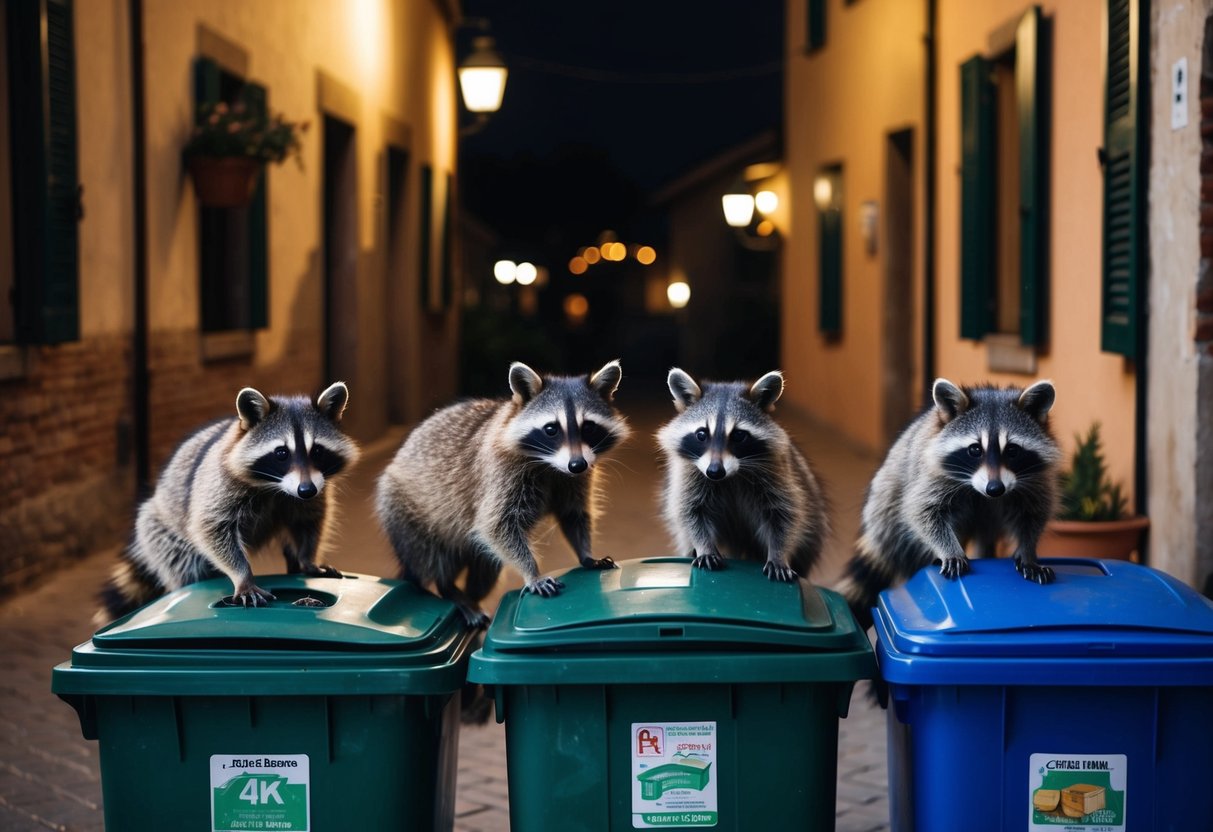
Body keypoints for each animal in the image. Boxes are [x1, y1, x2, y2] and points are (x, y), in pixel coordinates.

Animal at [97, 382, 360, 623]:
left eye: (317, 451)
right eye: (281, 453)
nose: (306, 490)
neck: (276, 488)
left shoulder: (311, 491)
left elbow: (309, 521)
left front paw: (307, 558)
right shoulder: (220, 485)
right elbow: (211, 528)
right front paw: (243, 576)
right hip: (161, 533)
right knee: (185, 563)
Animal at [375, 360, 631, 627]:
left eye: (588, 426)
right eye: (551, 429)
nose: (577, 464)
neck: (550, 465)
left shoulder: (573, 480)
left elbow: (574, 514)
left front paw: (585, 553)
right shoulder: (499, 475)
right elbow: (495, 525)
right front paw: (532, 571)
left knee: (486, 571)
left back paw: (471, 596)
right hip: (410, 517)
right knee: (434, 557)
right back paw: (451, 590)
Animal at [656, 368, 829, 582]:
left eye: (738, 435)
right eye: (701, 434)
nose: (714, 471)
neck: (731, 475)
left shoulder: (777, 473)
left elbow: (784, 515)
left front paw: (779, 554)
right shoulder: (688, 473)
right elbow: (690, 512)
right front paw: (704, 546)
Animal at [836, 378, 1060, 632]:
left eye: (1012, 450)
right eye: (975, 449)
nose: (995, 489)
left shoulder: (1034, 481)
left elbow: (1033, 515)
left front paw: (1028, 550)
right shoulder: (931, 474)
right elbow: (921, 511)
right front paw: (949, 550)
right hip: (886, 504)